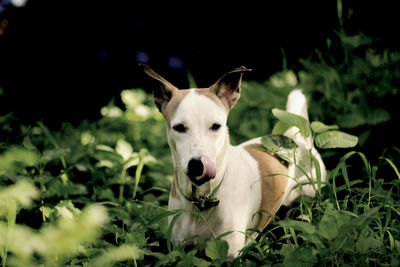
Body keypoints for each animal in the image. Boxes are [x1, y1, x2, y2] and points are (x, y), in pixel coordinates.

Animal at [141, 64, 324, 260]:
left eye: (216, 126)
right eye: (179, 127)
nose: (198, 164)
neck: (202, 198)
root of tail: (296, 139)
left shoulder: (228, 254)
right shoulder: (181, 249)